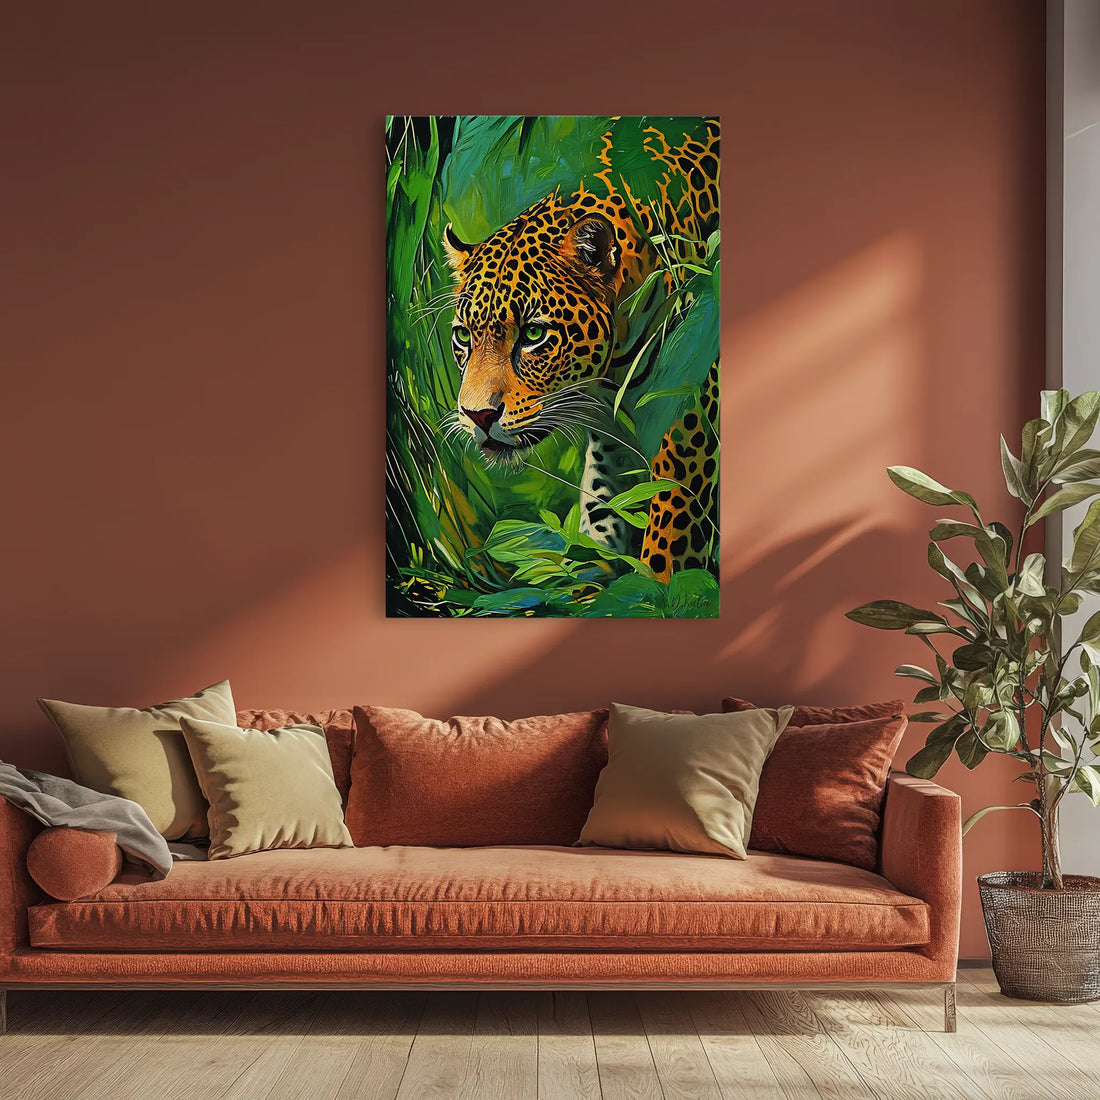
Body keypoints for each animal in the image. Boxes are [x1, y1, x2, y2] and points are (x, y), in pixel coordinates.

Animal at [442, 118, 720, 583]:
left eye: (533, 333)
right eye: (465, 337)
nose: (477, 416)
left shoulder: (689, 422)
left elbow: (667, 552)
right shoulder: (611, 443)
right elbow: (601, 515)